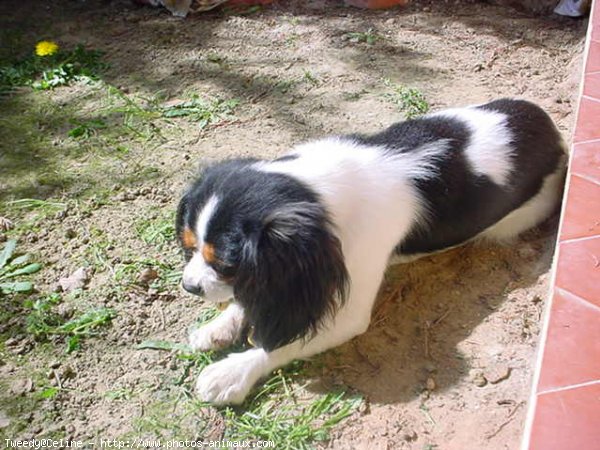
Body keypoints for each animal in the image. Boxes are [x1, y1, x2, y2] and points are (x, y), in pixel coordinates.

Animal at [175, 98, 568, 404]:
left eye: (225, 264)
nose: (188, 286)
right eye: (190, 247)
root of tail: (554, 133)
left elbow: (281, 341)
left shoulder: (342, 299)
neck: (316, 193)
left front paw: (231, 373)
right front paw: (218, 327)